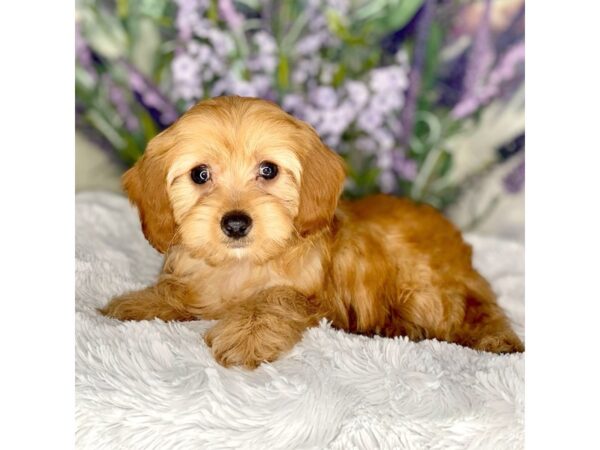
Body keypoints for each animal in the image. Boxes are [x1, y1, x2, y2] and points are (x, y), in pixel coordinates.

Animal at [103, 96, 524, 368]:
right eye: (200, 175)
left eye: (268, 170)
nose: (236, 223)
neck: (241, 266)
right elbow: (178, 289)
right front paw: (139, 303)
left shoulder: (318, 297)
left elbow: (275, 299)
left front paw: (246, 336)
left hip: (429, 289)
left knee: (472, 315)